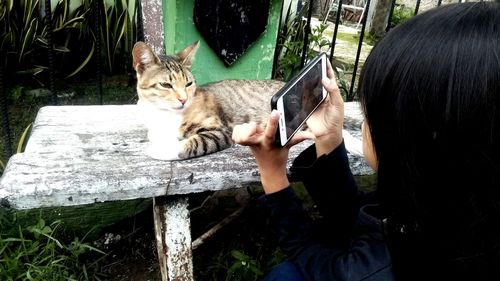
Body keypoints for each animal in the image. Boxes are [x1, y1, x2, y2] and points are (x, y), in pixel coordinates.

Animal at [131, 41, 286, 160]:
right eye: (165, 85)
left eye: (189, 84)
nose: (184, 99)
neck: (164, 114)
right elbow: (154, 134)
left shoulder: (221, 131)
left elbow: (195, 143)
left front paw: (161, 149)